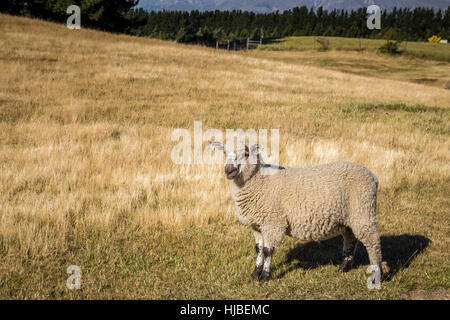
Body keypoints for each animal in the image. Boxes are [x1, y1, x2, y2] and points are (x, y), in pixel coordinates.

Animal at [209, 141, 382, 284]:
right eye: (224, 152)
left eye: (246, 153)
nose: (229, 170)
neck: (260, 182)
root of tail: (373, 176)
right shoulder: (257, 225)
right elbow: (258, 249)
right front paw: (255, 273)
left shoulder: (273, 222)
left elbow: (267, 250)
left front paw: (265, 276)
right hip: (349, 216)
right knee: (350, 238)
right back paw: (344, 267)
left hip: (363, 209)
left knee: (373, 241)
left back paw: (377, 273)